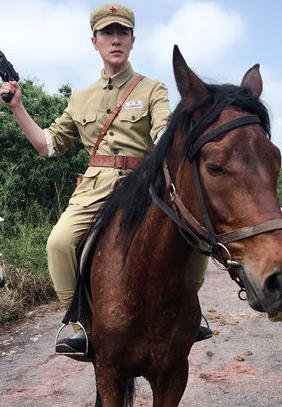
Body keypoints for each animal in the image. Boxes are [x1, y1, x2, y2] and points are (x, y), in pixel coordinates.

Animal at [87, 46, 280, 406]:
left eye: (276, 160)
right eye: (214, 166)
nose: (280, 280)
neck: (146, 282)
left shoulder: (174, 374)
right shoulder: (108, 372)